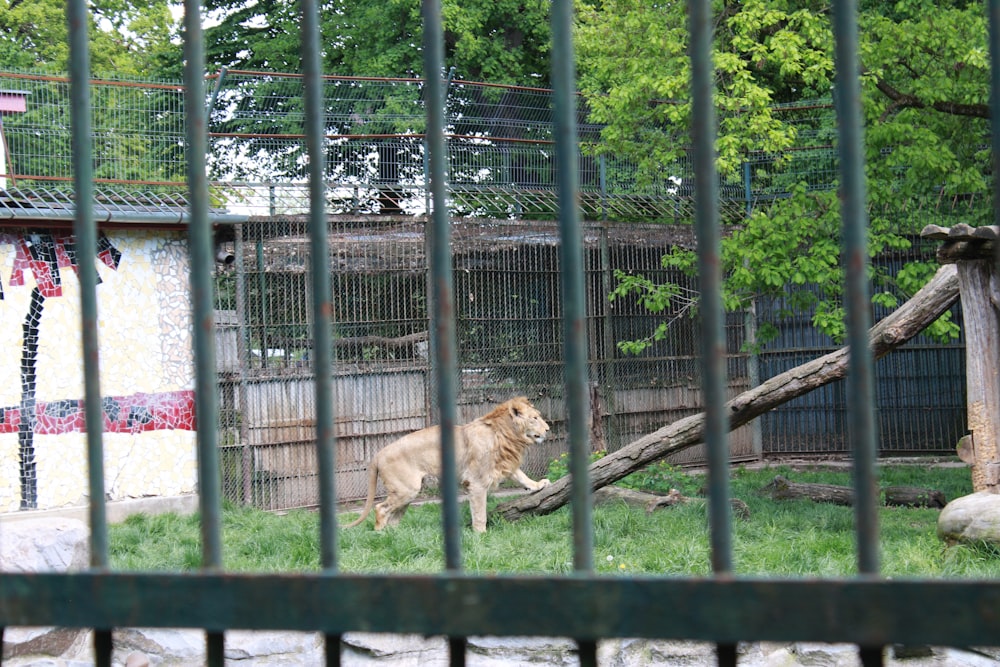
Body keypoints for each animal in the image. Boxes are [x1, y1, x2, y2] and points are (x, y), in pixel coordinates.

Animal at [342, 396, 548, 532]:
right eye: (535, 418)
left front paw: (539, 484)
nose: (548, 429)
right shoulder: (477, 481)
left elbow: (521, 476)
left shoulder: (503, 464)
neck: (506, 434)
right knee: (381, 509)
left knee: (394, 517)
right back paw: (380, 535)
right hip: (406, 489)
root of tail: (378, 454)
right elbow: (479, 512)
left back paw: (394, 535)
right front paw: (480, 536)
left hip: (406, 493)